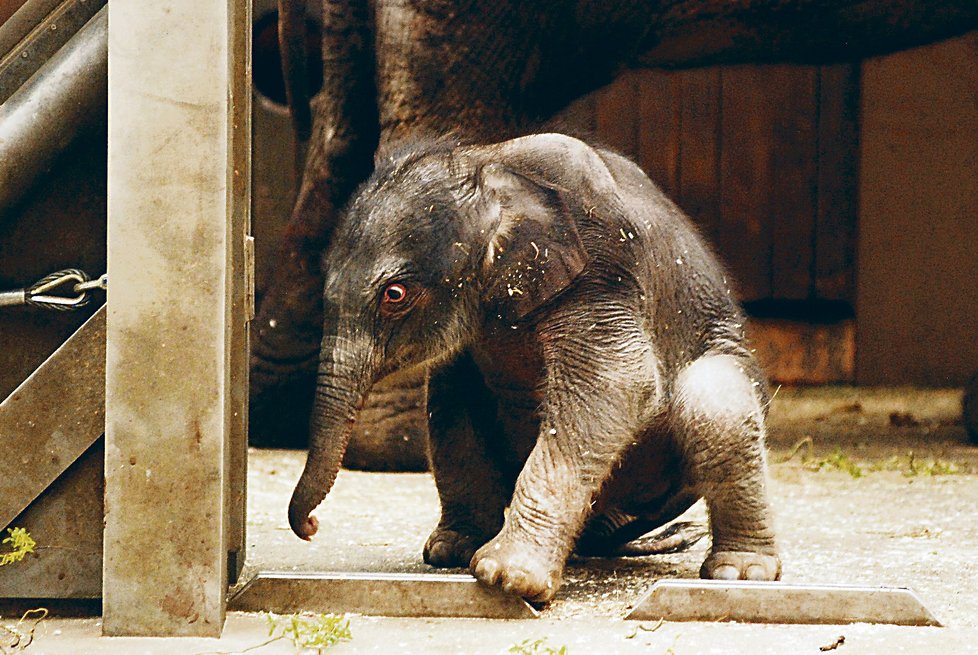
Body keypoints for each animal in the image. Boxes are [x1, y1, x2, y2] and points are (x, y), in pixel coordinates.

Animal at [288, 133, 776, 604]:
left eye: (395, 294)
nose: (311, 528)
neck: (491, 165)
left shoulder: (600, 268)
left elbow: (616, 382)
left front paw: (508, 578)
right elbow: (455, 400)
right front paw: (466, 557)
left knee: (714, 405)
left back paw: (738, 571)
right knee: (449, 395)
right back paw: (455, 548)